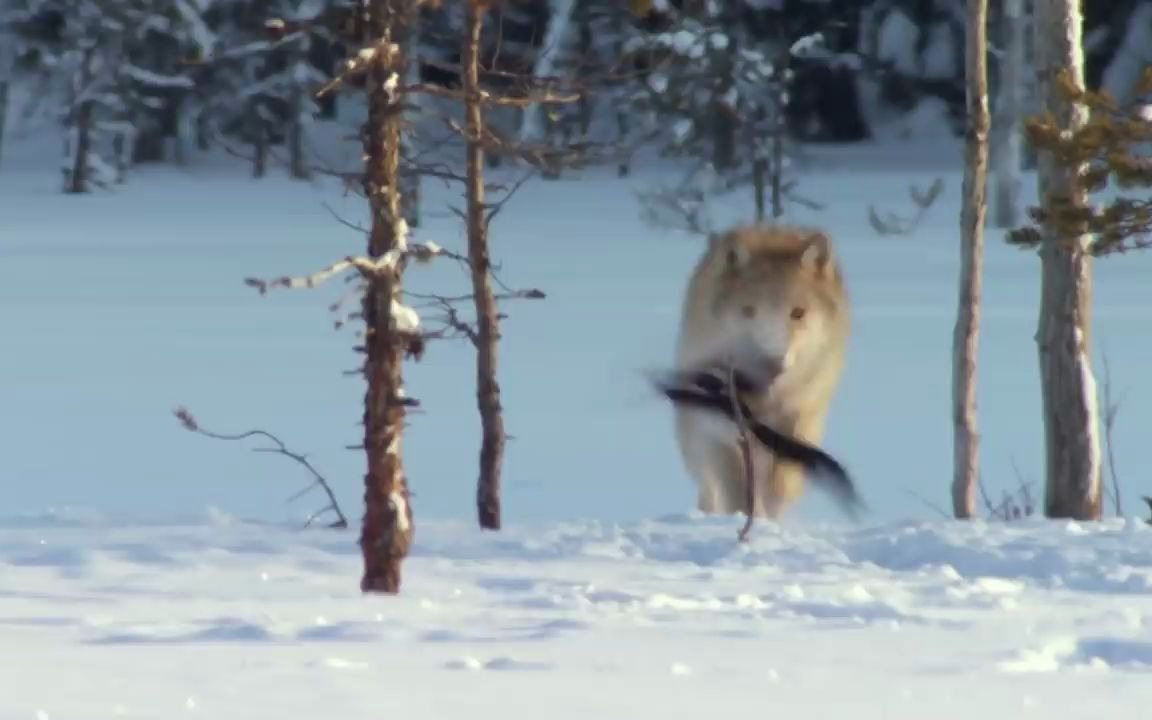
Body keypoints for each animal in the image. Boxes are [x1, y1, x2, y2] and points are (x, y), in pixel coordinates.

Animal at [672, 223, 852, 516]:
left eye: (798, 313)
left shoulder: (799, 421)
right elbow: (737, 493)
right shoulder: (719, 436)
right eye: (748, 311)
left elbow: (781, 485)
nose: (773, 363)